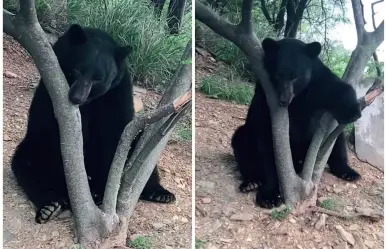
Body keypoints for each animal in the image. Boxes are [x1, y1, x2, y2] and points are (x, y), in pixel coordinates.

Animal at [11, 24, 176, 224]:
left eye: (99, 79)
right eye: (77, 70)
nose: (76, 97)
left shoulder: (117, 92)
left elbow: (114, 134)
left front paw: (104, 190)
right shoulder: (51, 84)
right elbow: (50, 123)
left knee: (141, 154)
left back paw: (158, 193)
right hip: (37, 152)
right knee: (29, 164)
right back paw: (50, 206)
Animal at [233, 37, 364, 208]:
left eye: (296, 77)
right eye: (277, 76)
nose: (283, 100)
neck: (297, 98)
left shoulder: (317, 82)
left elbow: (337, 87)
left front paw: (351, 111)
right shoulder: (264, 97)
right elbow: (264, 141)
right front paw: (269, 196)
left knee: (338, 142)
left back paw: (348, 172)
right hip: (245, 137)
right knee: (241, 142)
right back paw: (251, 182)